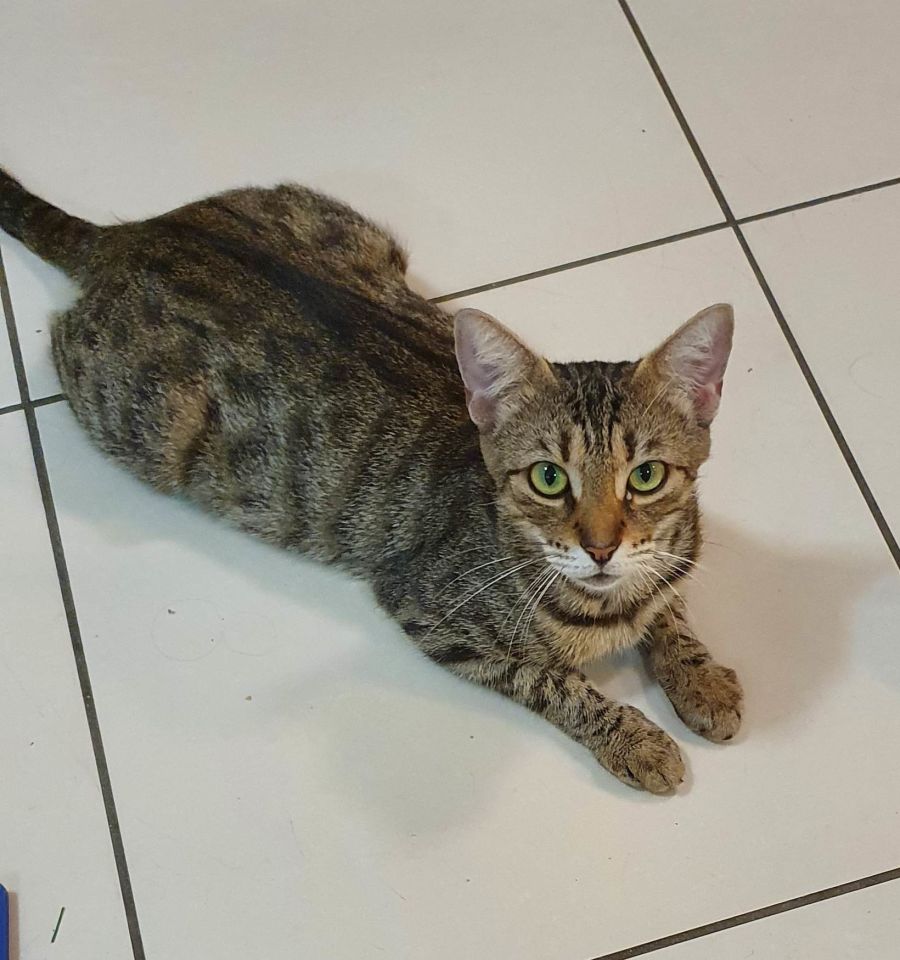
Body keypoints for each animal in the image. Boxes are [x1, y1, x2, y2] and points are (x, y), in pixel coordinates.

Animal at [0, 169, 742, 793]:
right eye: (549, 478)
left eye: (645, 475)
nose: (600, 546)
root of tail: (130, 236)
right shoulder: (433, 617)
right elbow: (556, 683)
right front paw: (635, 739)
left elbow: (671, 608)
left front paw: (701, 679)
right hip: (144, 423)